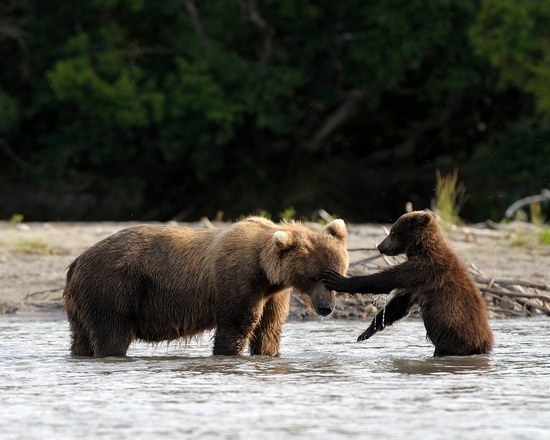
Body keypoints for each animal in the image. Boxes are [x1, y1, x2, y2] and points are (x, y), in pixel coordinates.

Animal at [63, 217, 350, 358]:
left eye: (337, 274)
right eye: (312, 276)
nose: (326, 308)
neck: (266, 273)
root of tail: (76, 262)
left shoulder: (274, 295)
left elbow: (268, 330)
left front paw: (267, 353)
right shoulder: (238, 282)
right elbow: (236, 325)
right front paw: (228, 354)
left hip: (83, 302)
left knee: (81, 337)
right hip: (114, 287)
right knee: (112, 332)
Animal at [324, 211, 496, 358]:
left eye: (393, 232)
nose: (380, 247)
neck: (421, 249)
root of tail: (484, 344)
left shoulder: (421, 270)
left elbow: (384, 280)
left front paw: (336, 279)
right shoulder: (414, 285)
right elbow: (398, 305)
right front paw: (366, 332)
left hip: (454, 337)